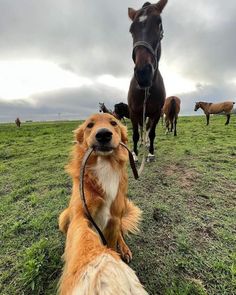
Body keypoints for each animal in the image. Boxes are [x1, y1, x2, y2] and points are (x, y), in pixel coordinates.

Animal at [58, 114, 147, 295]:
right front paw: (102, 270)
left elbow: (113, 243)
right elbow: (84, 240)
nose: (104, 134)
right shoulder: (80, 215)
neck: (105, 165)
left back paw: (125, 249)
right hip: (63, 217)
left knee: (121, 234)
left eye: (114, 123)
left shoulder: (114, 220)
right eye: (89, 125)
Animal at [127, 0, 168, 162]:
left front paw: (150, 153)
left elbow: (151, 133)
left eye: (159, 23)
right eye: (131, 30)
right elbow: (135, 134)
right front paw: (134, 154)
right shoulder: (133, 112)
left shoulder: (156, 113)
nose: (143, 72)